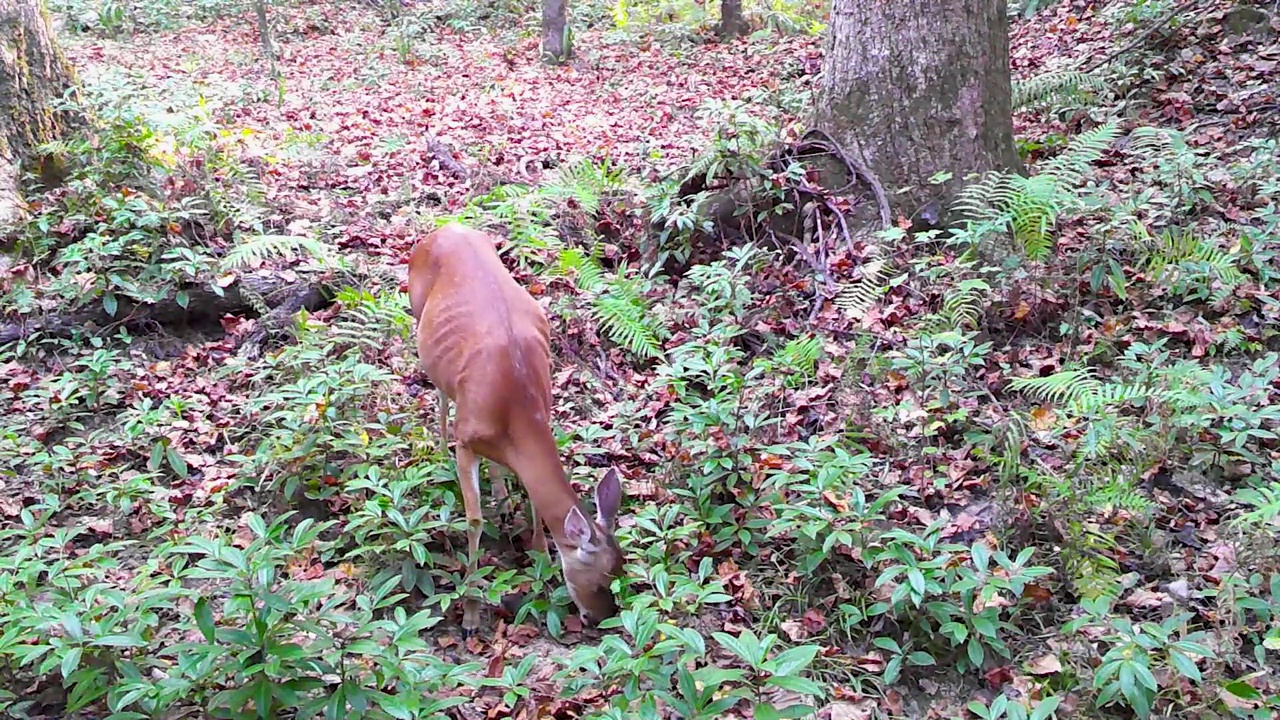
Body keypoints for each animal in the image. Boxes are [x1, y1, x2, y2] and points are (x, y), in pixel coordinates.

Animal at [407, 221, 627, 630]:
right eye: (599, 582)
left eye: (620, 573)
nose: (598, 620)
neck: (516, 407)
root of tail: (445, 227)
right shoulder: (467, 440)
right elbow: (474, 521)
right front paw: (471, 612)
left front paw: (540, 554)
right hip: (418, 320)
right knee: (439, 392)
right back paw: (441, 449)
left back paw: (501, 494)